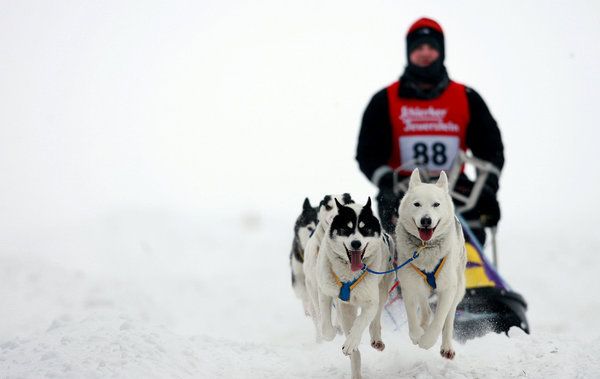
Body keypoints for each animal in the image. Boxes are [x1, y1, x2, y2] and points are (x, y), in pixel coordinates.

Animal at [316, 199, 396, 379]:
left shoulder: (370, 302)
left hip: (383, 289)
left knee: (375, 318)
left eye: (365, 229)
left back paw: (374, 340)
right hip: (347, 307)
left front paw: (351, 341)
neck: (348, 275)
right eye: (347, 228)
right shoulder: (327, 293)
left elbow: (360, 323)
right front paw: (332, 333)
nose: (356, 243)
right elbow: (326, 325)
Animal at [396, 168, 466, 360]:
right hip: (420, 286)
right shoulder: (409, 286)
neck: (425, 248)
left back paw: (447, 346)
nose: (426, 220)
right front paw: (417, 335)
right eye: (417, 204)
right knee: (426, 310)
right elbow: (412, 317)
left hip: (458, 289)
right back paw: (423, 326)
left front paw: (427, 341)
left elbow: (440, 319)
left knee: (448, 318)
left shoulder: (448, 289)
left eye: (436, 204)